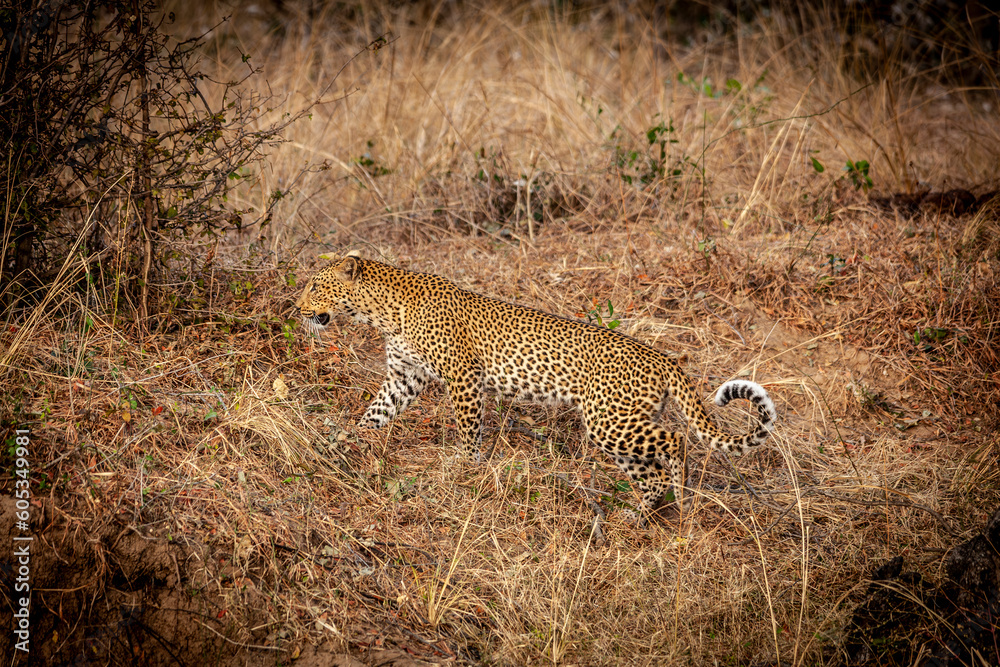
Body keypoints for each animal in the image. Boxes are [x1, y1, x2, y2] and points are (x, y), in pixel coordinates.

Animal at [292, 253, 776, 524]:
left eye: (316, 285)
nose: (296, 307)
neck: (379, 312)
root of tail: (662, 358)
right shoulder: (404, 377)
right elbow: (375, 413)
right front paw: (346, 442)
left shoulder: (464, 378)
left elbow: (469, 432)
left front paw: (468, 470)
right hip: (620, 427)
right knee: (650, 470)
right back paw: (640, 515)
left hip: (609, 420)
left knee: (676, 443)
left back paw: (683, 498)